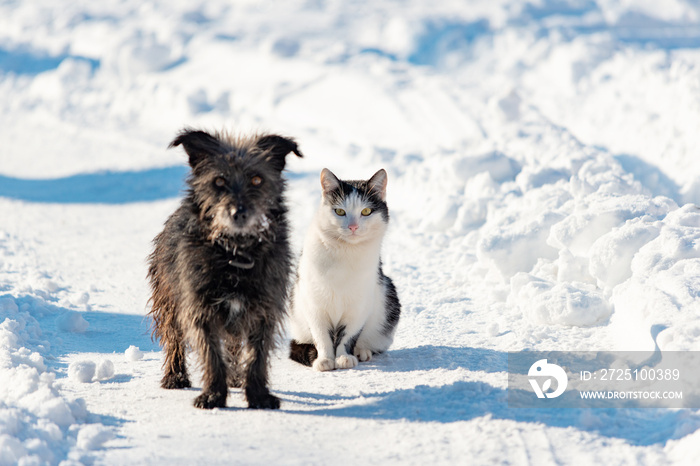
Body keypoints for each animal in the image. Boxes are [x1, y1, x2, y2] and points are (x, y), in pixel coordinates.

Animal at [148, 127, 300, 408]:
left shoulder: (264, 310)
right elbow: (211, 354)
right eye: (219, 181)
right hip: (170, 299)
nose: (238, 213)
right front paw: (213, 395)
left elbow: (256, 354)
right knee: (174, 337)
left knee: (233, 344)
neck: (235, 254)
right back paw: (175, 375)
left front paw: (258, 395)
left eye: (257, 180)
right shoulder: (199, 309)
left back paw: (236, 378)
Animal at [288, 167, 400, 372]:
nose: (353, 226)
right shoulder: (313, 303)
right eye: (340, 211)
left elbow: (349, 336)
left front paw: (343, 357)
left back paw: (362, 352)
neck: (345, 251)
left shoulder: (359, 306)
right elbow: (321, 336)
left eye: (366, 211)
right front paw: (325, 359)